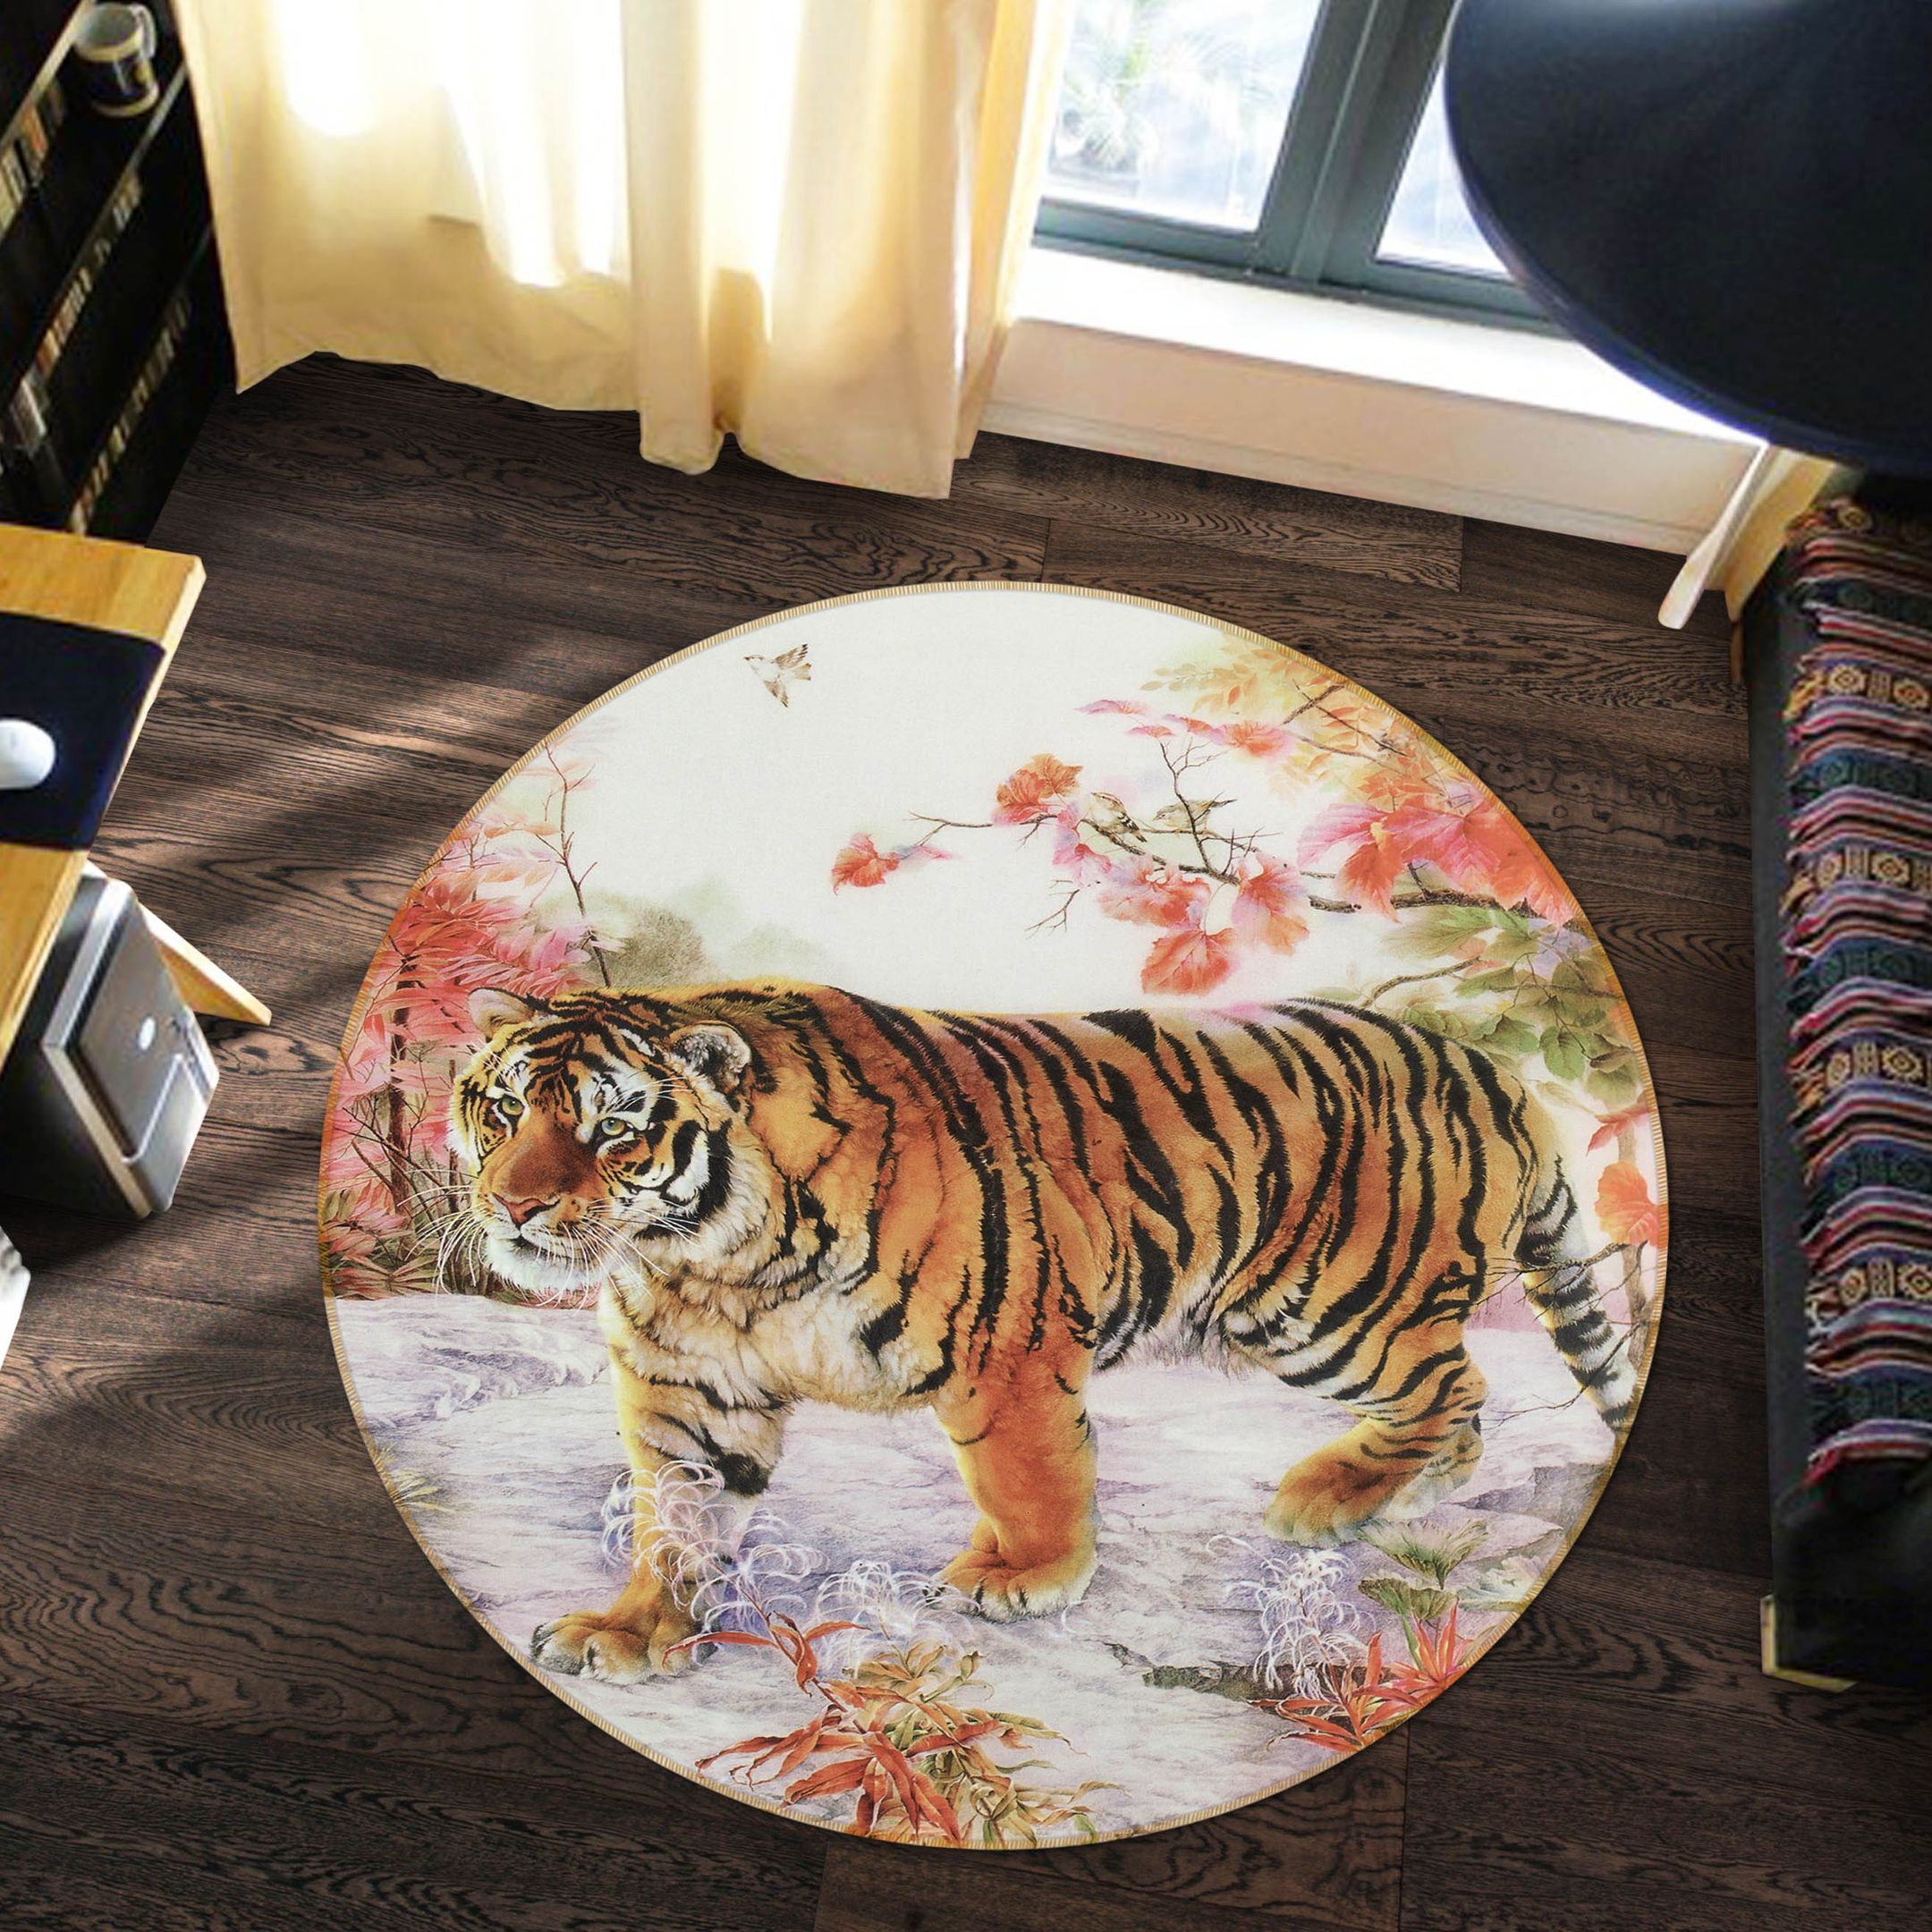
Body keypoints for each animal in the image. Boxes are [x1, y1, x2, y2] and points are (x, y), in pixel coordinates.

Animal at [449, 979, 1635, 1683]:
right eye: (503, 1111)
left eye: (613, 1129)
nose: (512, 1207)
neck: (710, 1258)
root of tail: (1500, 1078)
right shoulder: (688, 1391)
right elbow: (677, 1517)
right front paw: (634, 1629)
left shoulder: (1005, 1346)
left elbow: (1026, 1474)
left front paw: (1023, 1578)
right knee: (1460, 1415)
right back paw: (1388, 1501)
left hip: (1329, 1308)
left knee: (1458, 1393)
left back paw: (1326, 1498)